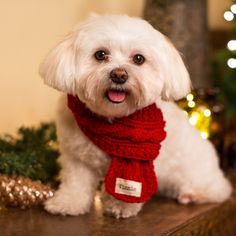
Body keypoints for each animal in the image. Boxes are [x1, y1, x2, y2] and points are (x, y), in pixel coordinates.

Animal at [39, 14, 232, 218]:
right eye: (100, 54)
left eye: (139, 58)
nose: (119, 75)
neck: (111, 119)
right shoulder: (76, 158)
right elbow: (76, 182)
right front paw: (68, 202)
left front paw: (121, 206)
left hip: (197, 173)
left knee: (218, 190)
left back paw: (192, 194)